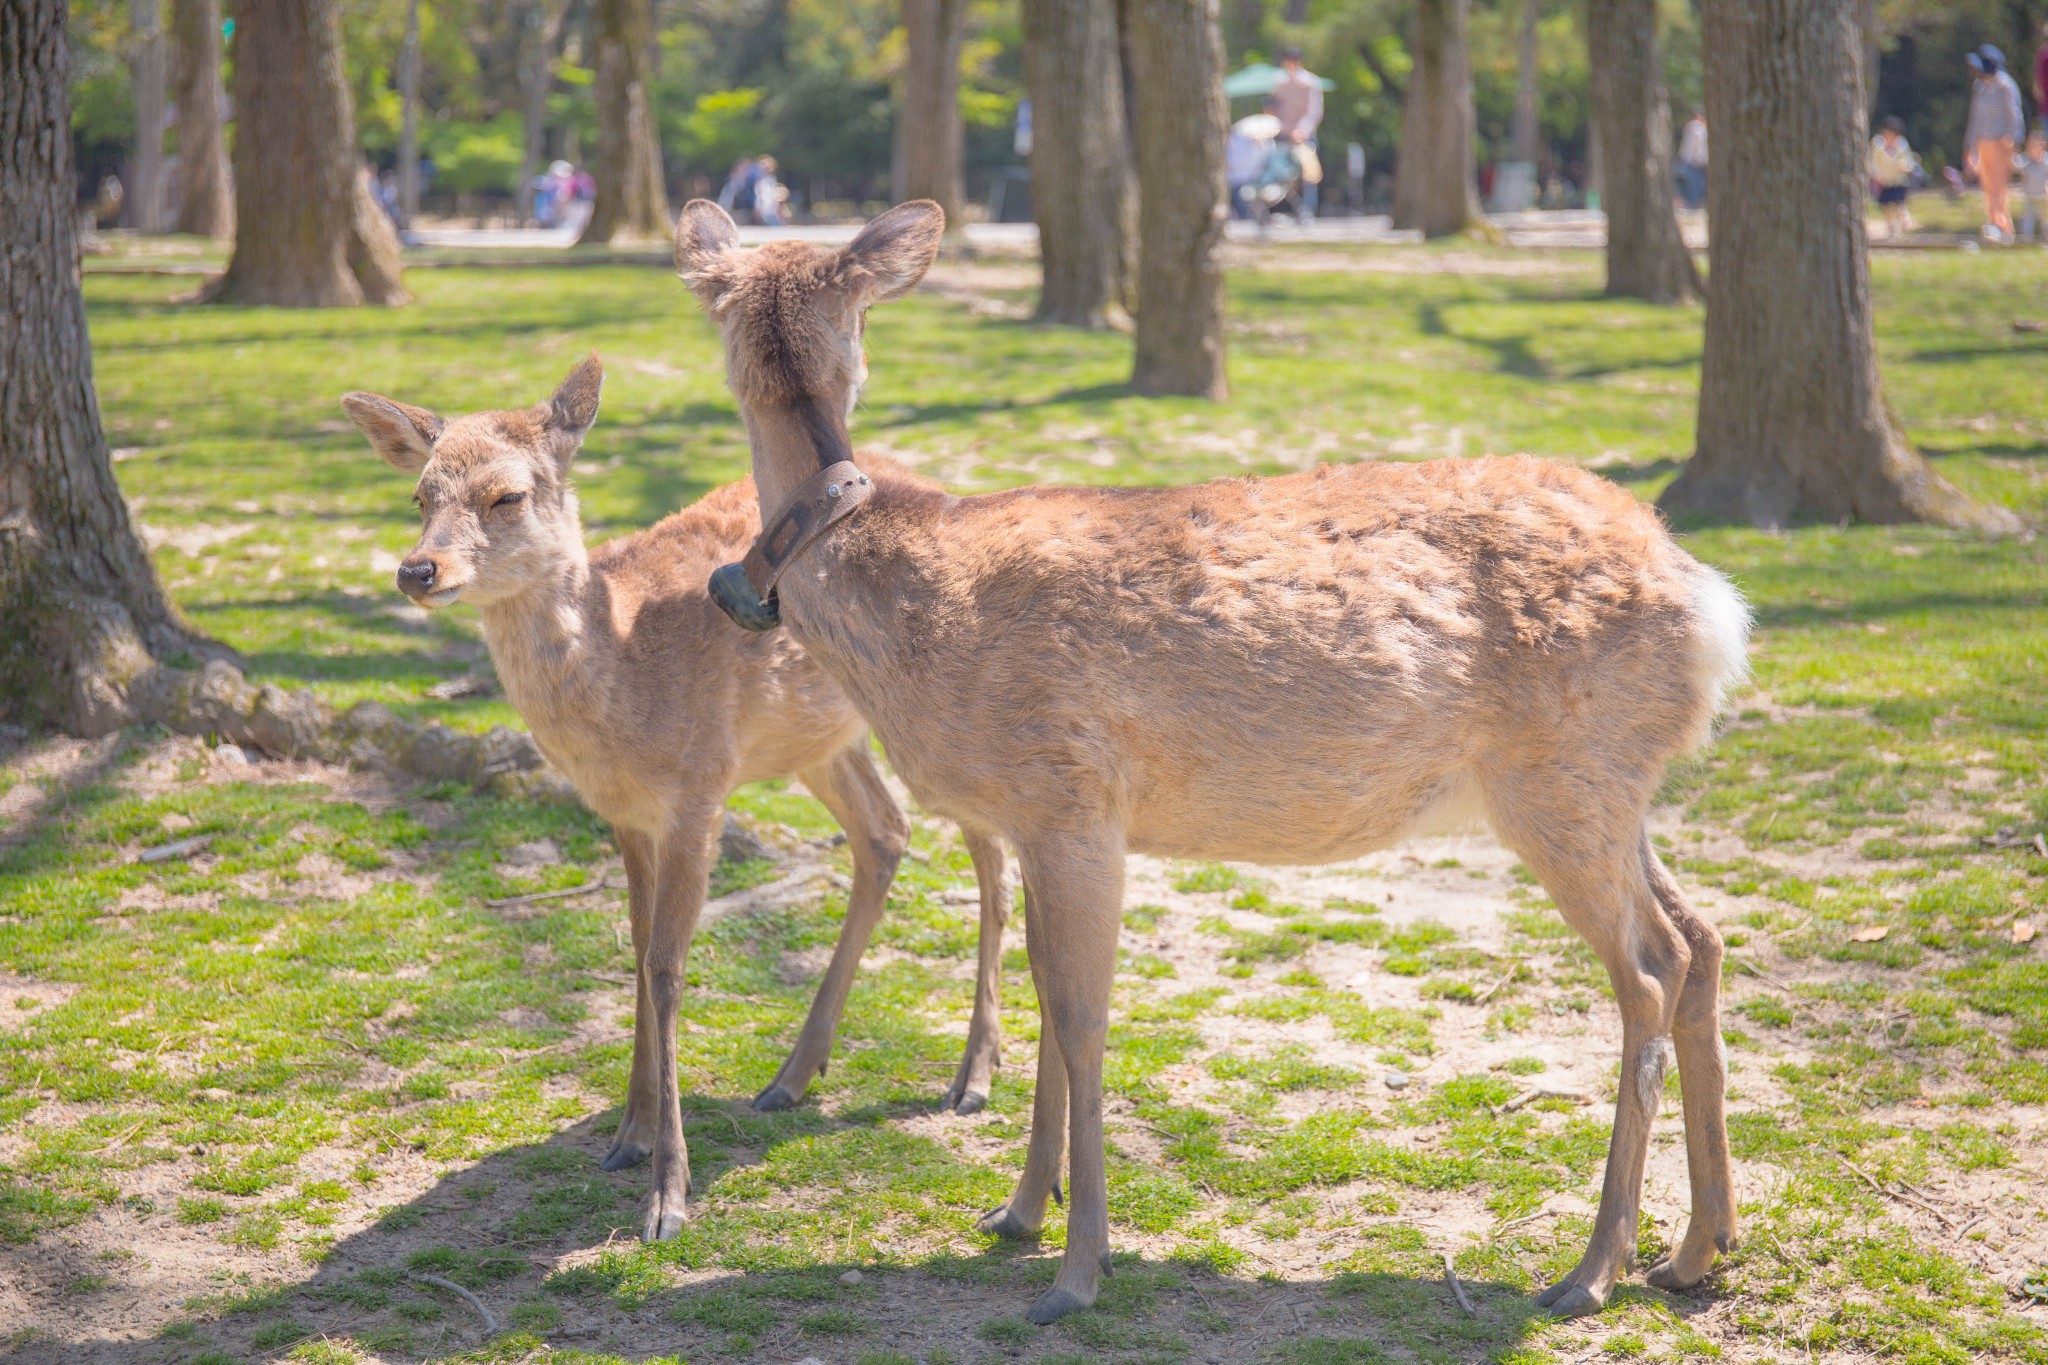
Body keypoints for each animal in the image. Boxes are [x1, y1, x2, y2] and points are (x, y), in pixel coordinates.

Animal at [342, 358, 1015, 1244]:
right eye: (420, 494)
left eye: (507, 495)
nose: (418, 570)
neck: (626, 670)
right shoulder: (626, 812)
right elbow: (634, 948)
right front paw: (627, 1136)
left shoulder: (700, 788)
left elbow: (667, 964)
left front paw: (668, 1194)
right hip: (819, 741)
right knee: (886, 832)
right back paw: (792, 1074)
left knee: (989, 849)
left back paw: (973, 1076)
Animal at [675, 197, 1761, 1317]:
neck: (908, 613)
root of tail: (1712, 607)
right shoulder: (1033, 817)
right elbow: (1045, 992)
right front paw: (1018, 1212)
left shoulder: (1073, 797)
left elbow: (1081, 1015)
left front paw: (1077, 1268)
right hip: (1616, 783)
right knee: (1705, 937)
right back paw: (1699, 1247)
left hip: (1558, 777)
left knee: (1652, 965)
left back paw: (1591, 1269)